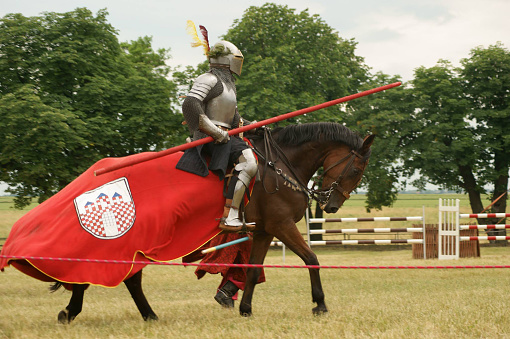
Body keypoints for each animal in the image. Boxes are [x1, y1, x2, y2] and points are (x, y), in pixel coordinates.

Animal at [53, 121, 372, 322]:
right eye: (356, 169)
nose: (331, 205)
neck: (279, 165)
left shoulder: (264, 231)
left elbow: (253, 270)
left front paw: (245, 309)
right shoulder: (281, 225)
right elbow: (311, 259)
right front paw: (320, 304)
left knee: (123, 277)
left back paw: (139, 314)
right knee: (105, 273)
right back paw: (76, 311)